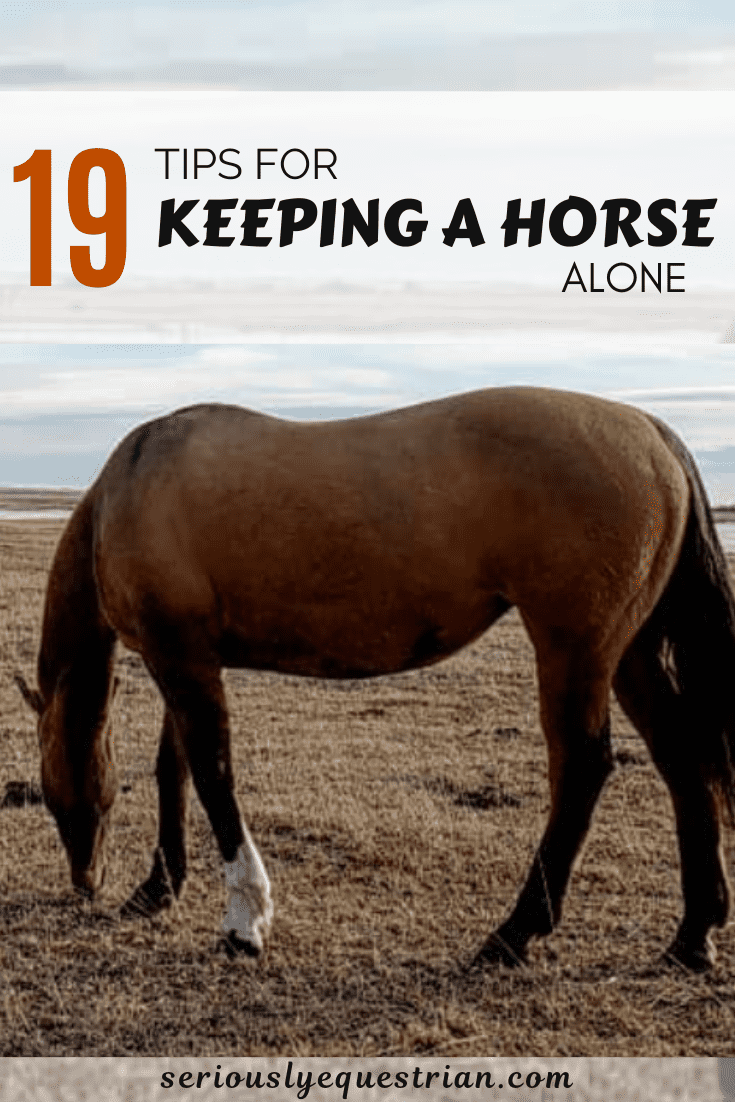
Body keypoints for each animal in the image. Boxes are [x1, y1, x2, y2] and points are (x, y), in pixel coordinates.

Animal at [14, 386, 735, 971]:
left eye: (50, 794)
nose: (85, 879)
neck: (129, 488)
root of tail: (650, 432)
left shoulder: (180, 660)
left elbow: (215, 777)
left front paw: (246, 921)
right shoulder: (184, 661)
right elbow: (177, 771)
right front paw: (157, 889)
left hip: (574, 651)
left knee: (582, 770)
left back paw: (514, 932)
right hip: (628, 654)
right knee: (681, 761)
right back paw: (691, 936)